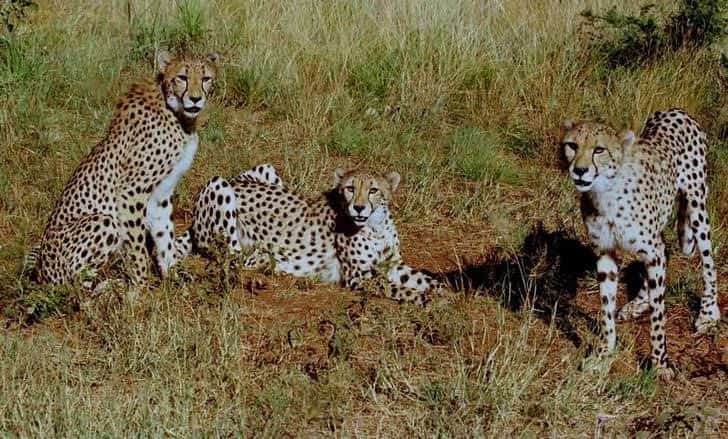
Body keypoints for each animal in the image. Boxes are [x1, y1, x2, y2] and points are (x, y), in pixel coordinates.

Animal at [30, 50, 219, 285]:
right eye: (182, 78)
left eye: (206, 79)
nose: (195, 99)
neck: (177, 114)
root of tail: (41, 272)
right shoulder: (131, 192)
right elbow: (138, 246)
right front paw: (141, 286)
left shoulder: (161, 193)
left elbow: (165, 236)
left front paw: (171, 276)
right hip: (103, 221)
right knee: (75, 283)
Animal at [174, 164, 443, 304]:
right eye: (350, 188)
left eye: (373, 190)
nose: (358, 207)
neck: (375, 226)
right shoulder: (358, 276)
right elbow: (396, 288)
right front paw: (423, 298)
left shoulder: (393, 265)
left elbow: (424, 279)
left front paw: (439, 291)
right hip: (219, 185)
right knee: (232, 260)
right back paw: (267, 263)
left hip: (265, 169)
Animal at [561, 108, 720, 378]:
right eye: (572, 145)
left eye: (599, 150)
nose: (580, 170)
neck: (606, 193)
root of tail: (676, 110)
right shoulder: (605, 253)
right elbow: (606, 310)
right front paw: (605, 354)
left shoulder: (651, 251)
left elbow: (658, 316)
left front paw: (660, 364)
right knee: (664, 252)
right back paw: (638, 303)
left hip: (697, 204)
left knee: (708, 262)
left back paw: (708, 313)